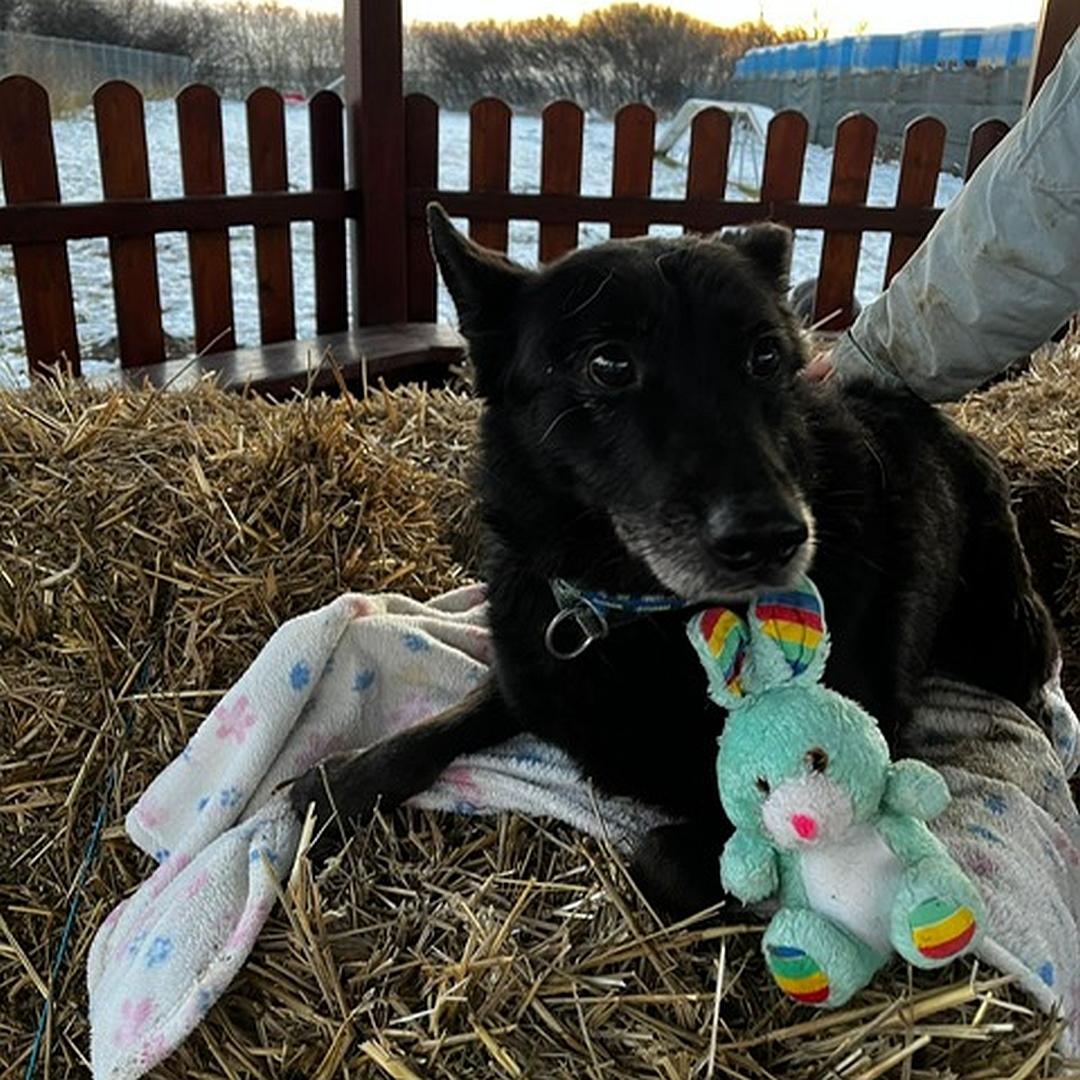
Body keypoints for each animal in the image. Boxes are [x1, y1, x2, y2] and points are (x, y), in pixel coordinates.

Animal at [291, 203, 1058, 911]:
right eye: (609, 363)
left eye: (765, 357)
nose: (772, 540)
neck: (635, 611)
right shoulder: (530, 668)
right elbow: (442, 722)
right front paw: (341, 780)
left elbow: (662, 854)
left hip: (1008, 640)